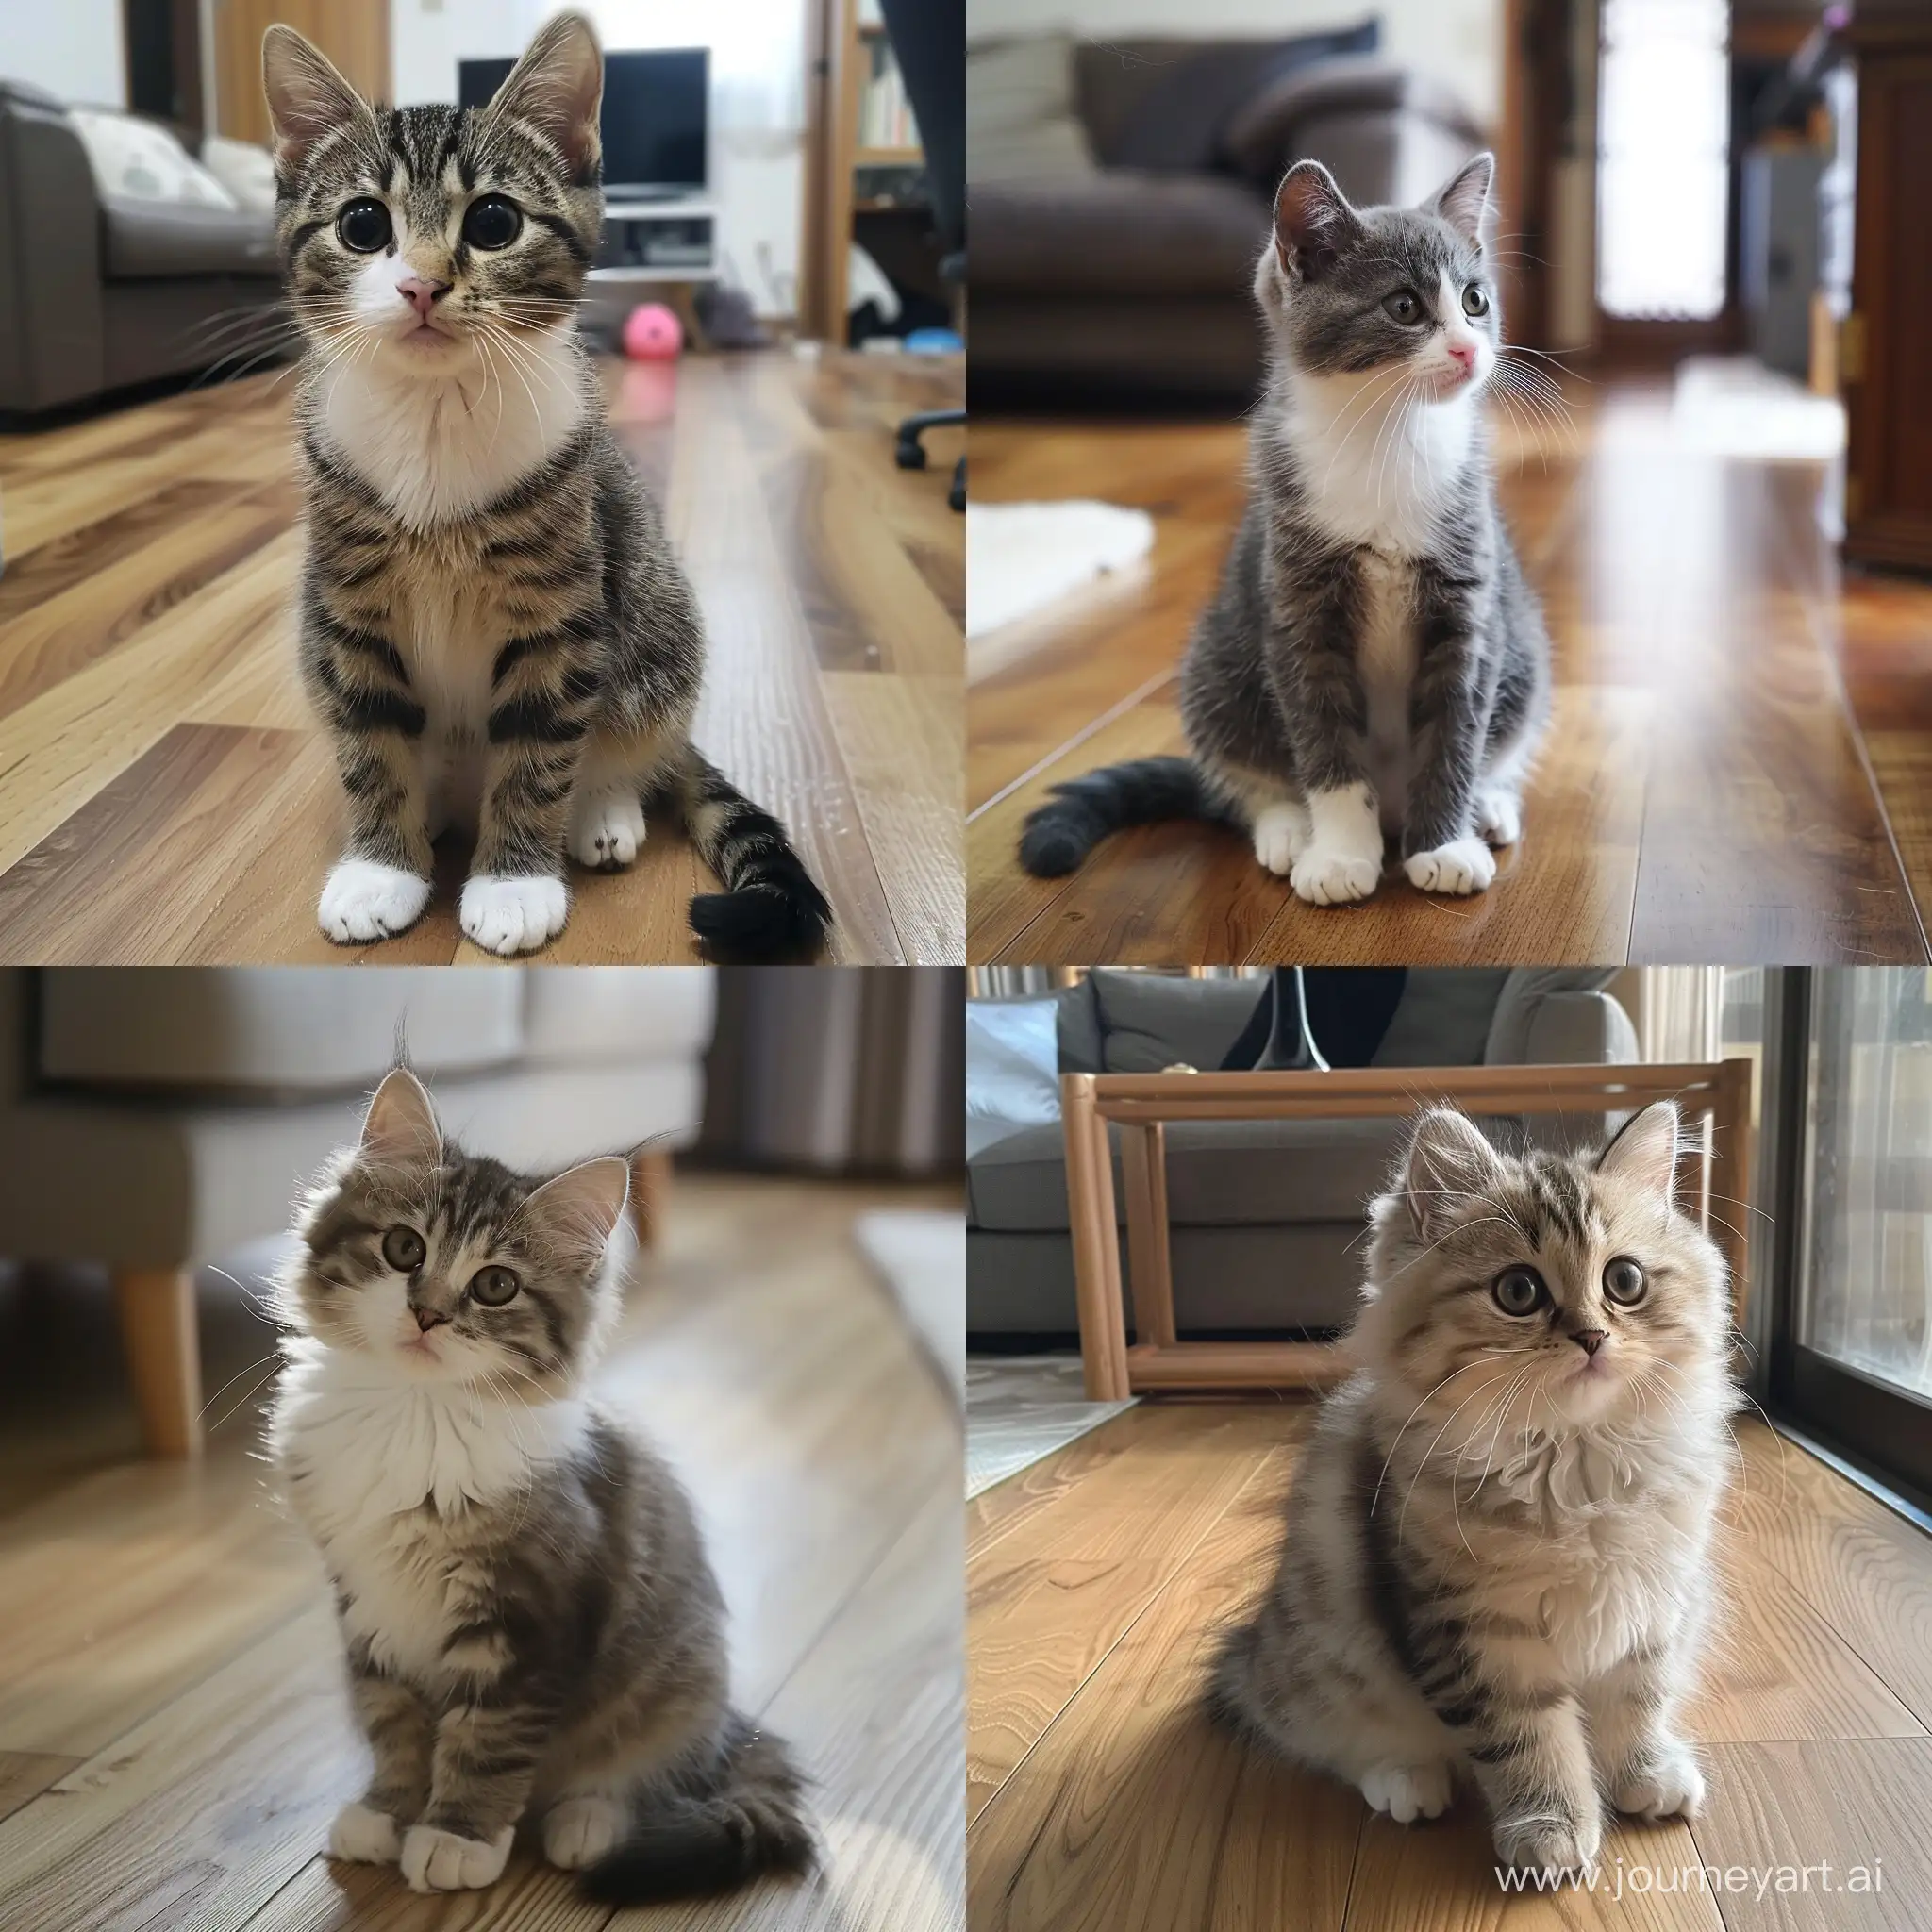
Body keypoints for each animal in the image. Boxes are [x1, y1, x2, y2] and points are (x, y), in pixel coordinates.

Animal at [258, 18, 830, 961]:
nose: (420, 283)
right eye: (362, 224)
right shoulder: (346, 604)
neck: (436, 414)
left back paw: (602, 811)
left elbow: (538, 746)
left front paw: (514, 882)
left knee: (630, 734)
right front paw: (380, 867)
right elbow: (369, 738)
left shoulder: (563, 607)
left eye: (494, 221)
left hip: (655, 629)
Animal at [266, 1074, 815, 1901]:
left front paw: (456, 1839)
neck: (414, 1414)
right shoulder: (368, 1605)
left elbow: (485, 1742)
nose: (427, 1314)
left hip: (676, 1679)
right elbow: (392, 1722)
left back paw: (586, 1826)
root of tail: (727, 1724)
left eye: (495, 1286)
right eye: (404, 1248)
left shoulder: (527, 1623)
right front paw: (389, 1812)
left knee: (641, 1773)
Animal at [1027, 150, 1553, 904]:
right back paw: (1286, 829)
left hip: (1525, 653)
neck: (1387, 437)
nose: (1467, 352)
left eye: (1476, 301)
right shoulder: (1298, 607)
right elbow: (1321, 736)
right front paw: (1339, 854)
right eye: (1404, 306)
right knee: (1251, 776)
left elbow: (1455, 729)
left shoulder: (1470, 606)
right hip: (1219, 661)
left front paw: (1444, 844)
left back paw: (1489, 804)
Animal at [1205, 1112, 1739, 1877]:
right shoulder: (1474, 1628)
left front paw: (1646, 1773)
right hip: (1330, 1656)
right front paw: (1550, 1829)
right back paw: (1407, 1783)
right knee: (1333, 1738)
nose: (1592, 1337)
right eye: (1519, 1292)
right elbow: (1528, 1738)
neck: (1573, 1460)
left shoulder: (1651, 1605)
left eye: (1625, 1280)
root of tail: (1256, 1650)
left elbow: (1638, 1699)